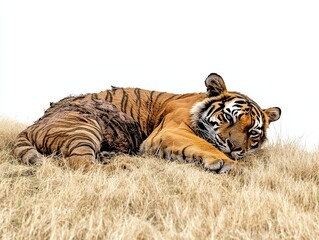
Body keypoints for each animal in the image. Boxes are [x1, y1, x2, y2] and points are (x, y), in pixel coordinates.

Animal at [13, 72, 282, 172]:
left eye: (253, 133)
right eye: (228, 117)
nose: (235, 148)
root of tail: (32, 125)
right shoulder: (169, 131)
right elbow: (204, 144)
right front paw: (229, 164)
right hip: (84, 126)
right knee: (81, 165)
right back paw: (122, 167)